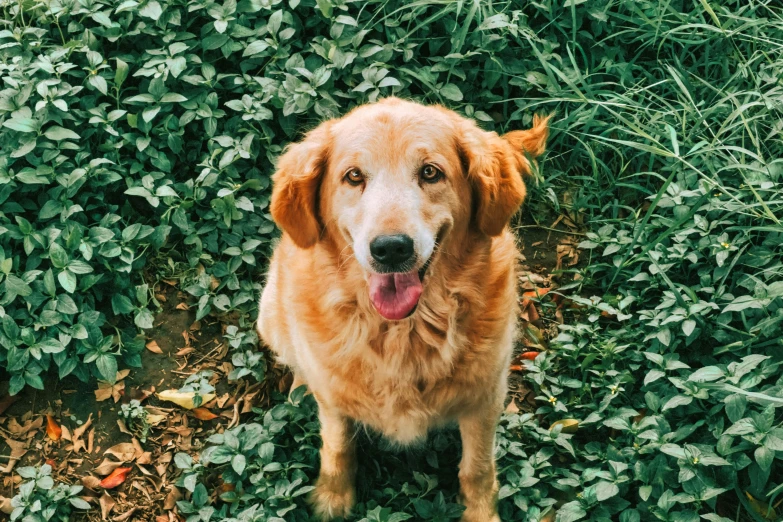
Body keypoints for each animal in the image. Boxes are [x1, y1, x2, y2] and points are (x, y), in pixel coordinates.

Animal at [258, 97, 552, 520]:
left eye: (430, 172)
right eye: (353, 176)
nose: (391, 248)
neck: (402, 333)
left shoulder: (485, 399)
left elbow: (477, 468)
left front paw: (481, 512)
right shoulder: (334, 406)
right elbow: (337, 446)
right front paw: (332, 498)